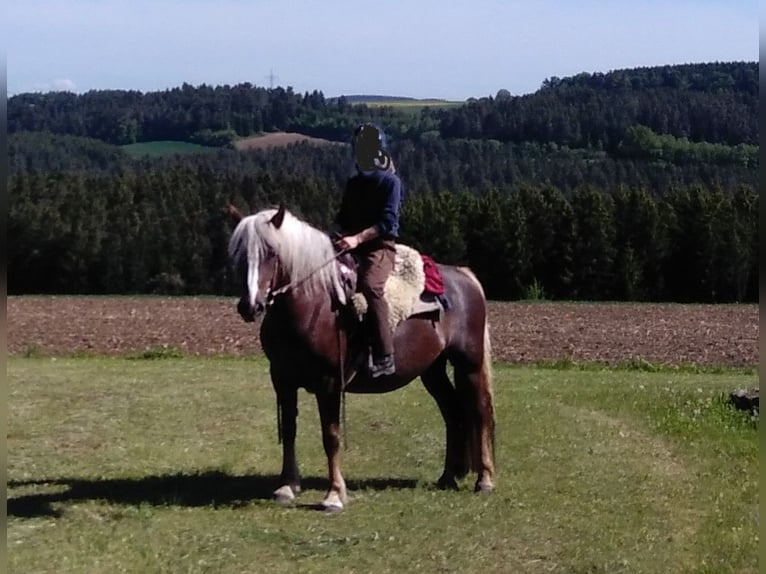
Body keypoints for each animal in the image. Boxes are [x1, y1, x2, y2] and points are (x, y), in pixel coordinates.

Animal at [228, 207, 498, 512]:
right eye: (239, 252)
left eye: (272, 252)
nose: (250, 306)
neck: (314, 303)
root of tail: (465, 276)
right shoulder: (282, 379)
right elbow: (289, 430)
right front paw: (287, 486)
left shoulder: (329, 382)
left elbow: (331, 435)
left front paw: (334, 494)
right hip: (433, 370)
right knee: (453, 412)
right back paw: (449, 476)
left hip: (469, 363)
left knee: (480, 411)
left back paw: (485, 480)